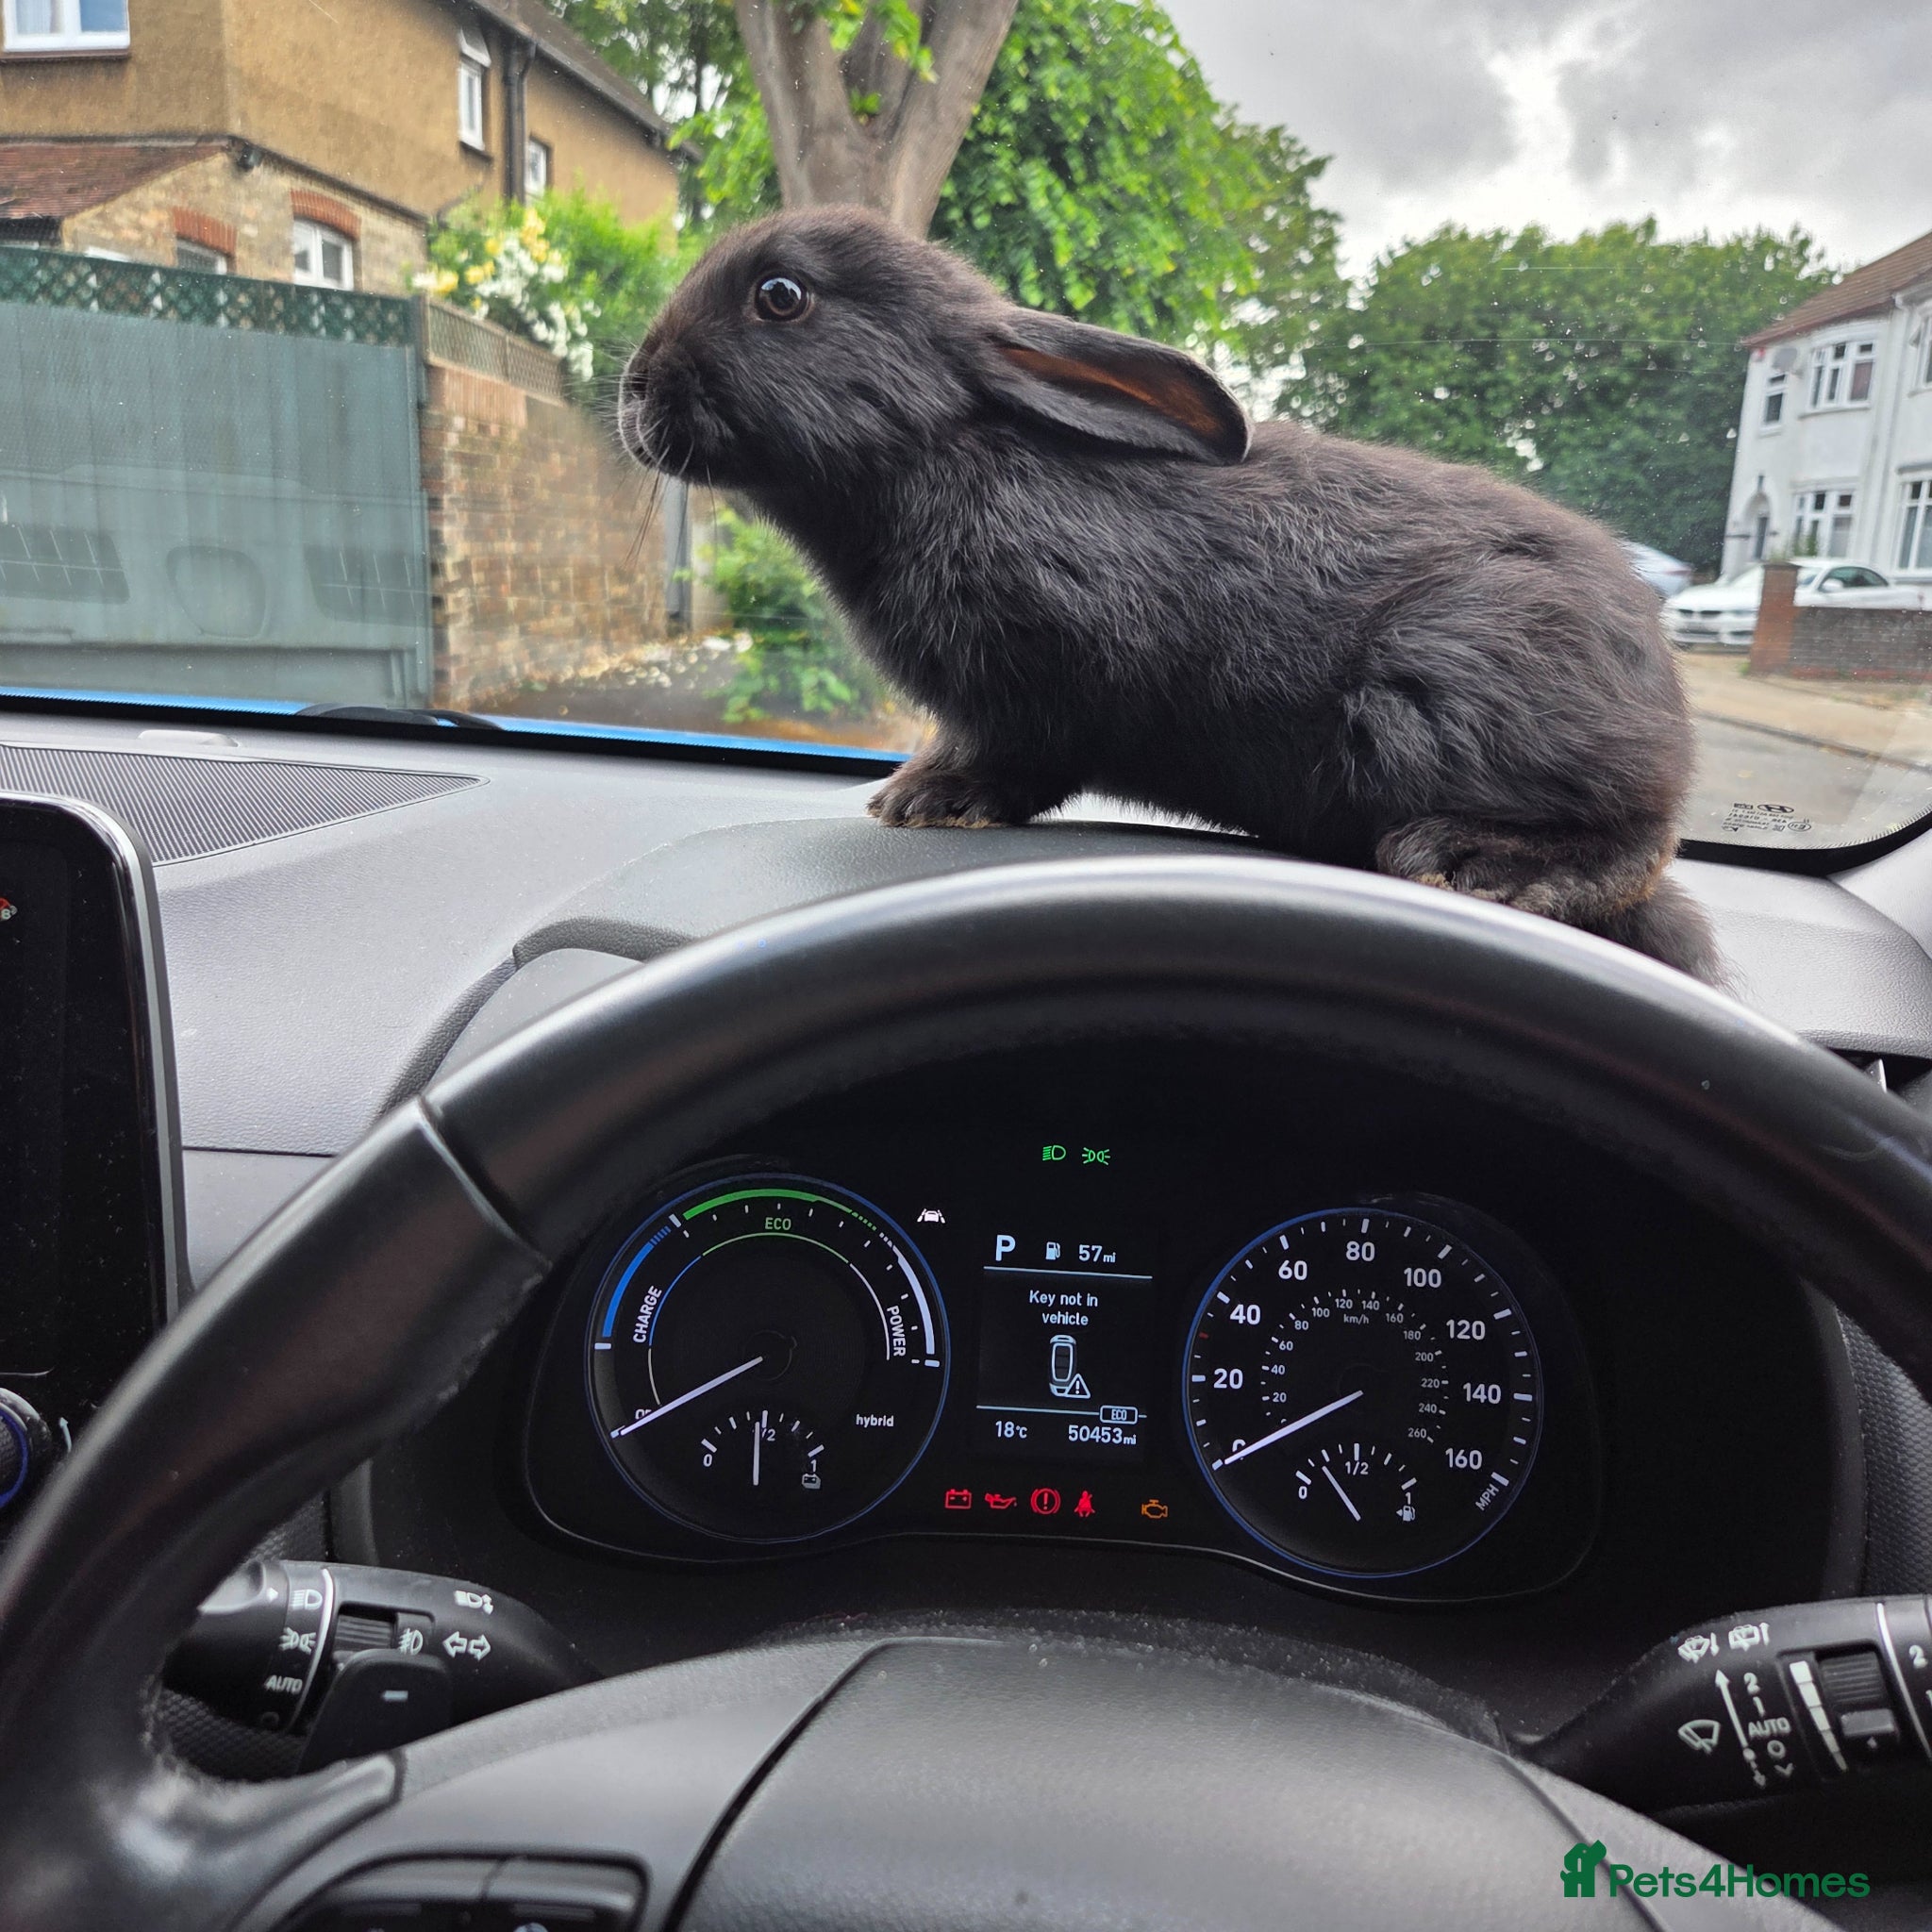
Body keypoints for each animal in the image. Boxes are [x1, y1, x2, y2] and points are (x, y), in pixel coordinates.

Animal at [620, 206, 1721, 983]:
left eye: (780, 294)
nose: (634, 386)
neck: (941, 453)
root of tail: (1661, 714)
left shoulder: (1038, 688)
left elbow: (1011, 761)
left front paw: (924, 800)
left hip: (1446, 684)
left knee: (1634, 842)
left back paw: (1472, 863)